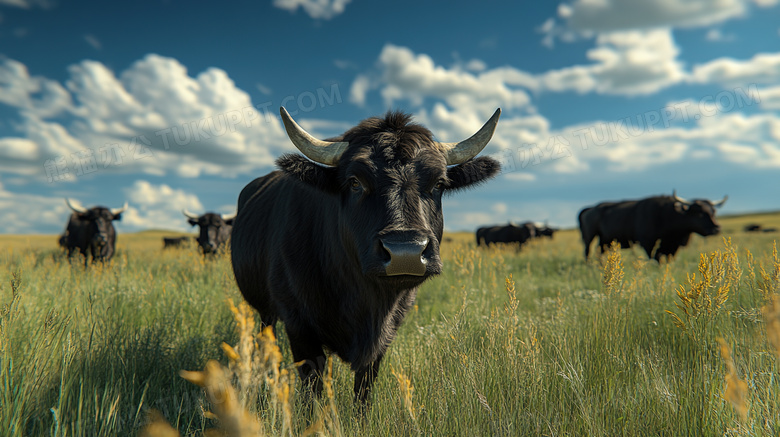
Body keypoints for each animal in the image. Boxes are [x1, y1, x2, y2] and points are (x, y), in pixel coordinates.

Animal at [229, 105, 502, 402]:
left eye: (439, 183)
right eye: (354, 182)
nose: (405, 252)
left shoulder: (385, 333)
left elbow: (364, 389)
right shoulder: (298, 326)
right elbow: (313, 389)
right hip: (264, 310)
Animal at [576, 190, 728, 258]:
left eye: (714, 211)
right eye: (698, 212)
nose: (716, 228)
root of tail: (590, 209)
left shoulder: (671, 247)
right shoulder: (648, 244)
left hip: (605, 240)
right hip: (589, 237)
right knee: (587, 252)